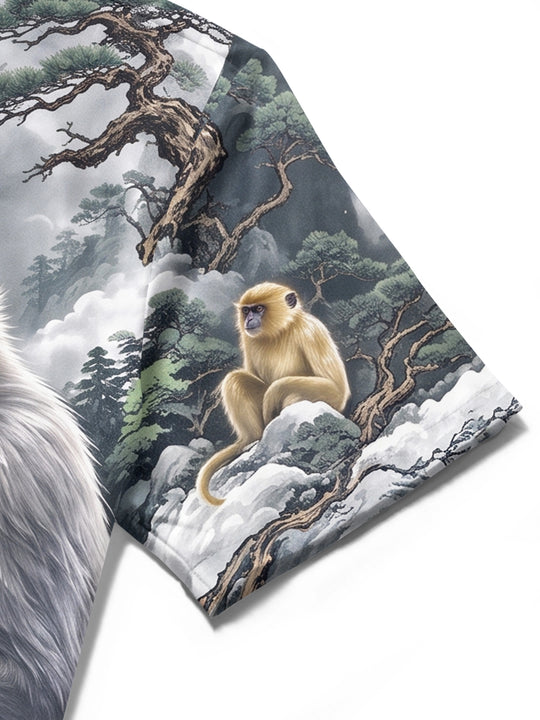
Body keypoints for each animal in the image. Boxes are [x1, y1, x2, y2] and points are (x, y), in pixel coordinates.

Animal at [197, 282, 350, 506]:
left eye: (259, 309)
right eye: (247, 310)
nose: (249, 319)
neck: (279, 331)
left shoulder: (310, 331)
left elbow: (336, 387)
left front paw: (274, 392)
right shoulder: (248, 338)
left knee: (293, 396)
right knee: (236, 379)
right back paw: (251, 439)